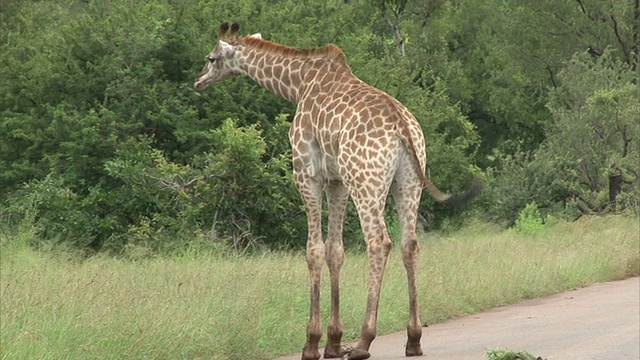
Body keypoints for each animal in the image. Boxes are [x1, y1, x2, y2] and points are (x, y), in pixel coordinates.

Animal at [194, 23, 480, 360]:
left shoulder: (307, 172)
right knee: (409, 243)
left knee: (379, 241)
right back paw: (413, 339)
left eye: (211, 58)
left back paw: (364, 341)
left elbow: (314, 250)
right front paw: (333, 341)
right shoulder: (337, 181)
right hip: (408, 181)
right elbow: (336, 250)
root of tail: (401, 126)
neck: (298, 84)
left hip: (366, 180)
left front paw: (312, 343)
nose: (198, 80)